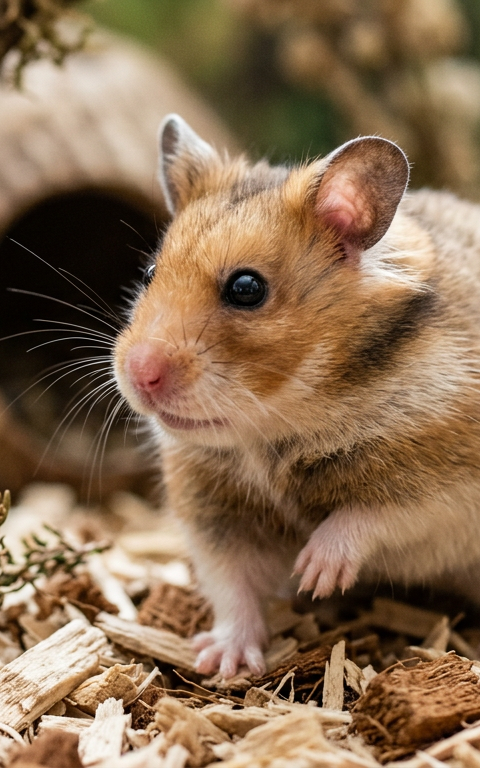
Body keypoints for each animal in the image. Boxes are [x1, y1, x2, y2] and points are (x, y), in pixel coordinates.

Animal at [114, 113, 480, 678]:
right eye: (151, 274)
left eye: (246, 288)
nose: (137, 375)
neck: (281, 427)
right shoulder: (211, 517)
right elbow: (231, 586)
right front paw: (223, 662)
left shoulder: (449, 488)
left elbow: (372, 516)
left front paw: (314, 574)